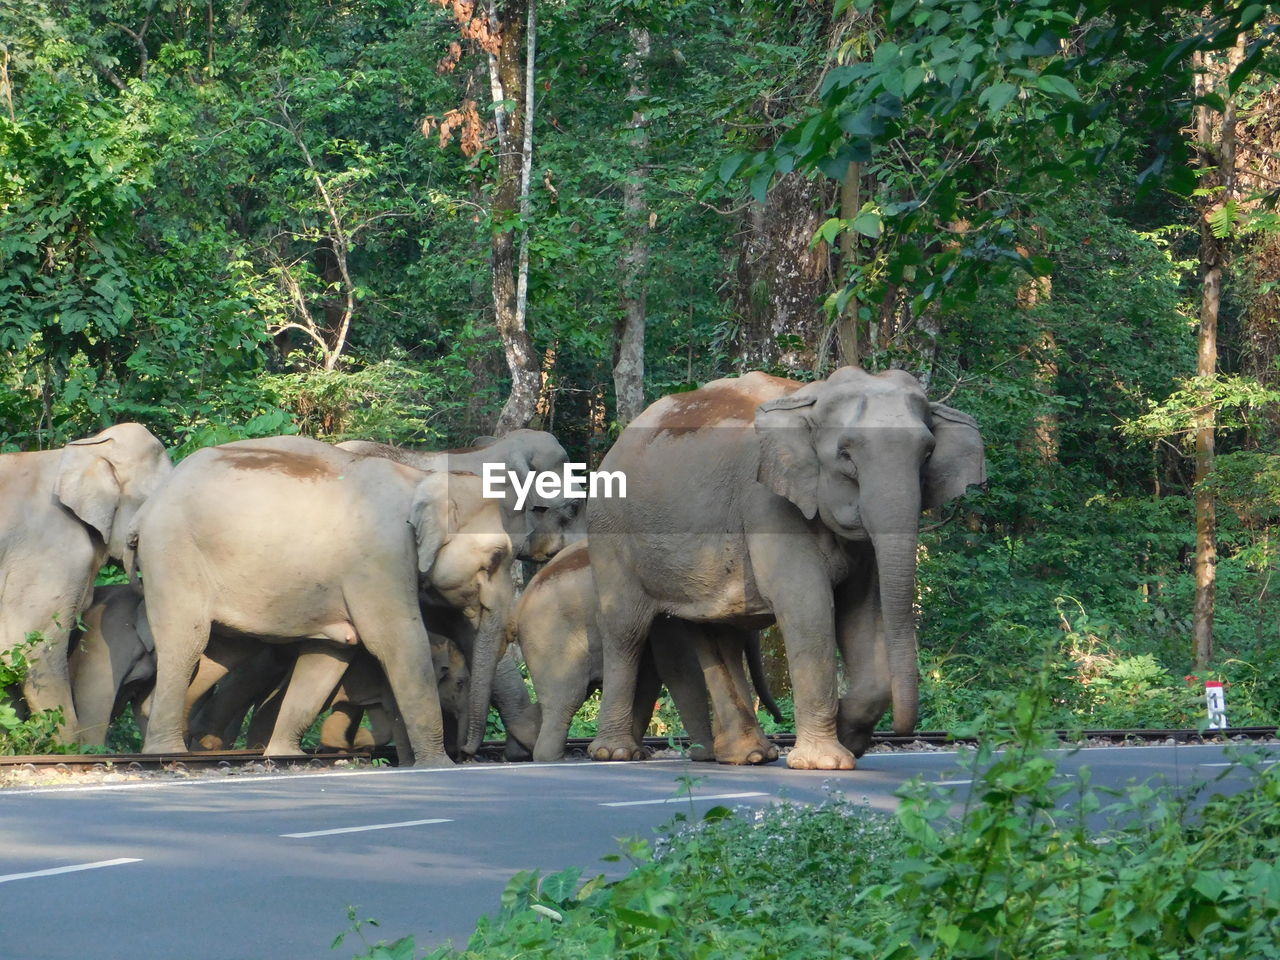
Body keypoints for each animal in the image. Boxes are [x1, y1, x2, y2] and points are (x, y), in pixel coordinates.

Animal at [129, 435, 524, 768]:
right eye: (495, 557)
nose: (469, 753)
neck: (422, 479)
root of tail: (147, 507)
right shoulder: (380, 559)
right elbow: (401, 643)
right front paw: (437, 765)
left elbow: (330, 656)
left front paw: (284, 756)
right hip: (172, 555)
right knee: (188, 640)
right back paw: (168, 754)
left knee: (221, 651)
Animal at [506, 542, 783, 768]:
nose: (779, 719)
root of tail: (518, 606)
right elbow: (679, 668)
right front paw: (707, 755)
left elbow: (650, 678)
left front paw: (632, 754)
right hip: (552, 639)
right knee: (568, 698)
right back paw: (554, 759)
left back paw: (523, 744)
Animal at [586, 368, 983, 773]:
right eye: (845, 454)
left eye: (928, 453)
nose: (903, 731)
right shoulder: (765, 501)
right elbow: (807, 604)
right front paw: (826, 762)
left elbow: (863, 609)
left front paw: (849, 737)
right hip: (610, 532)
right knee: (626, 630)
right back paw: (615, 753)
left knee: (715, 631)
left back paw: (749, 755)